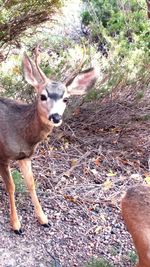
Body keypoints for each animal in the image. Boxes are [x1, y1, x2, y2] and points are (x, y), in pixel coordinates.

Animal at [0, 47, 97, 234]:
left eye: (66, 99)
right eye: (43, 96)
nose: (56, 117)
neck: (19, 131)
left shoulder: (25, 157)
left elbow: (31, 184)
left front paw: (43, 219)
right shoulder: (3, 155)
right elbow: (12, 187)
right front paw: (16, 225)